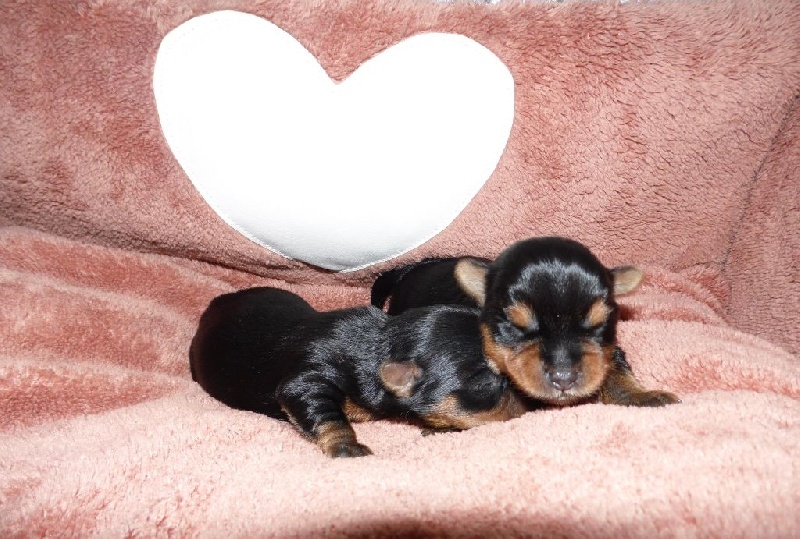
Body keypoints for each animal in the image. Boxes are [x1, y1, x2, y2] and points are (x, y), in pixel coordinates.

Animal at [372, 236, 679, 408]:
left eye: (598, 325)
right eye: (515, 326)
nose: (564, 378)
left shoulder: (607, 349)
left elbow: (612, 365)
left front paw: (642, 396)